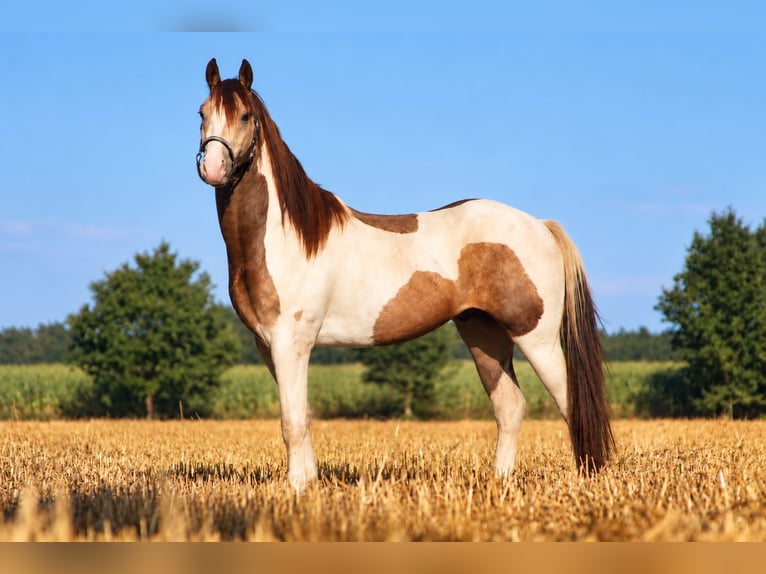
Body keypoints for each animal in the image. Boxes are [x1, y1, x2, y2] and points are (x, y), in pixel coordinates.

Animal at [196, 58, 614, 491]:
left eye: (245, 116)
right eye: (202, 113)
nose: (212, 167)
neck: (289, 239)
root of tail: (541, 226)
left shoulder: (291, 343)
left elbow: (292, 420)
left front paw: (297, 488)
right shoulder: (268, 346)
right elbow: (304, 415)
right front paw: (309, 481)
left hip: (537, 338)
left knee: (571, 403)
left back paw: (589, 480)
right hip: (484, 335)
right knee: (510, 407)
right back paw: (498, 482)